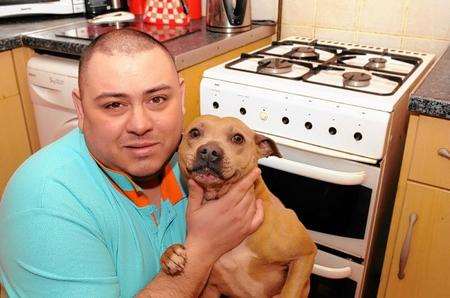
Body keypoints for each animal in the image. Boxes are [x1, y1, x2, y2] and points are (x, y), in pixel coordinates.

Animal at [162, 115, 316, 296]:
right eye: (194, 133)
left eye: (237, 138)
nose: (209, 151)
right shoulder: (210, 289)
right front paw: (170, 254)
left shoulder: (305, 253)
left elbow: (290, 292)